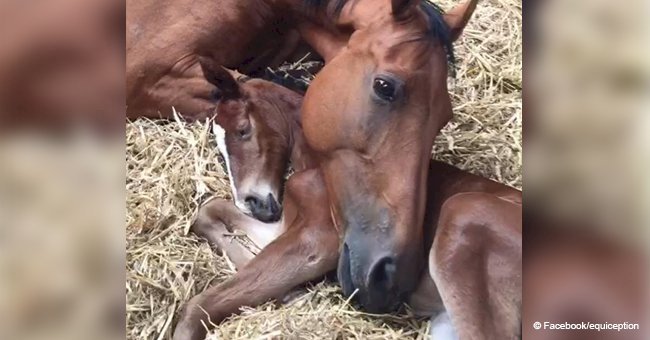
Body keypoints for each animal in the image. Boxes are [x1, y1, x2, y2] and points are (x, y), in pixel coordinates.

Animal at [173, 57, 520, 338]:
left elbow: (200, 305)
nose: (252, 203)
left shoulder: (318, 240)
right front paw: (287, 291)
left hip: (463, 212)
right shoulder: (286, 225)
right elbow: (209, 212)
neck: (318, 164)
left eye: (243, 130)